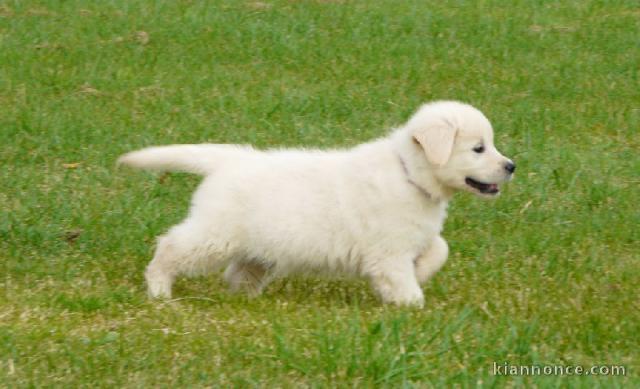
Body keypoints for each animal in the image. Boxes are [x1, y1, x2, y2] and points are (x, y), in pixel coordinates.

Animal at [117, 101, 512, 306]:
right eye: (478, 148)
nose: (511, 166)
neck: (408, 173)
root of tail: (230, 160)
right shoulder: (388, 250)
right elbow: (401, 279)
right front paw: (412, 303)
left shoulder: (415, 236)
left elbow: (440, 248)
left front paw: (423, 273)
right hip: (215, 234)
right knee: (170, 246)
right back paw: (159, 290)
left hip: (259, 248)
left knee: (238, 272)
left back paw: (247, 300)